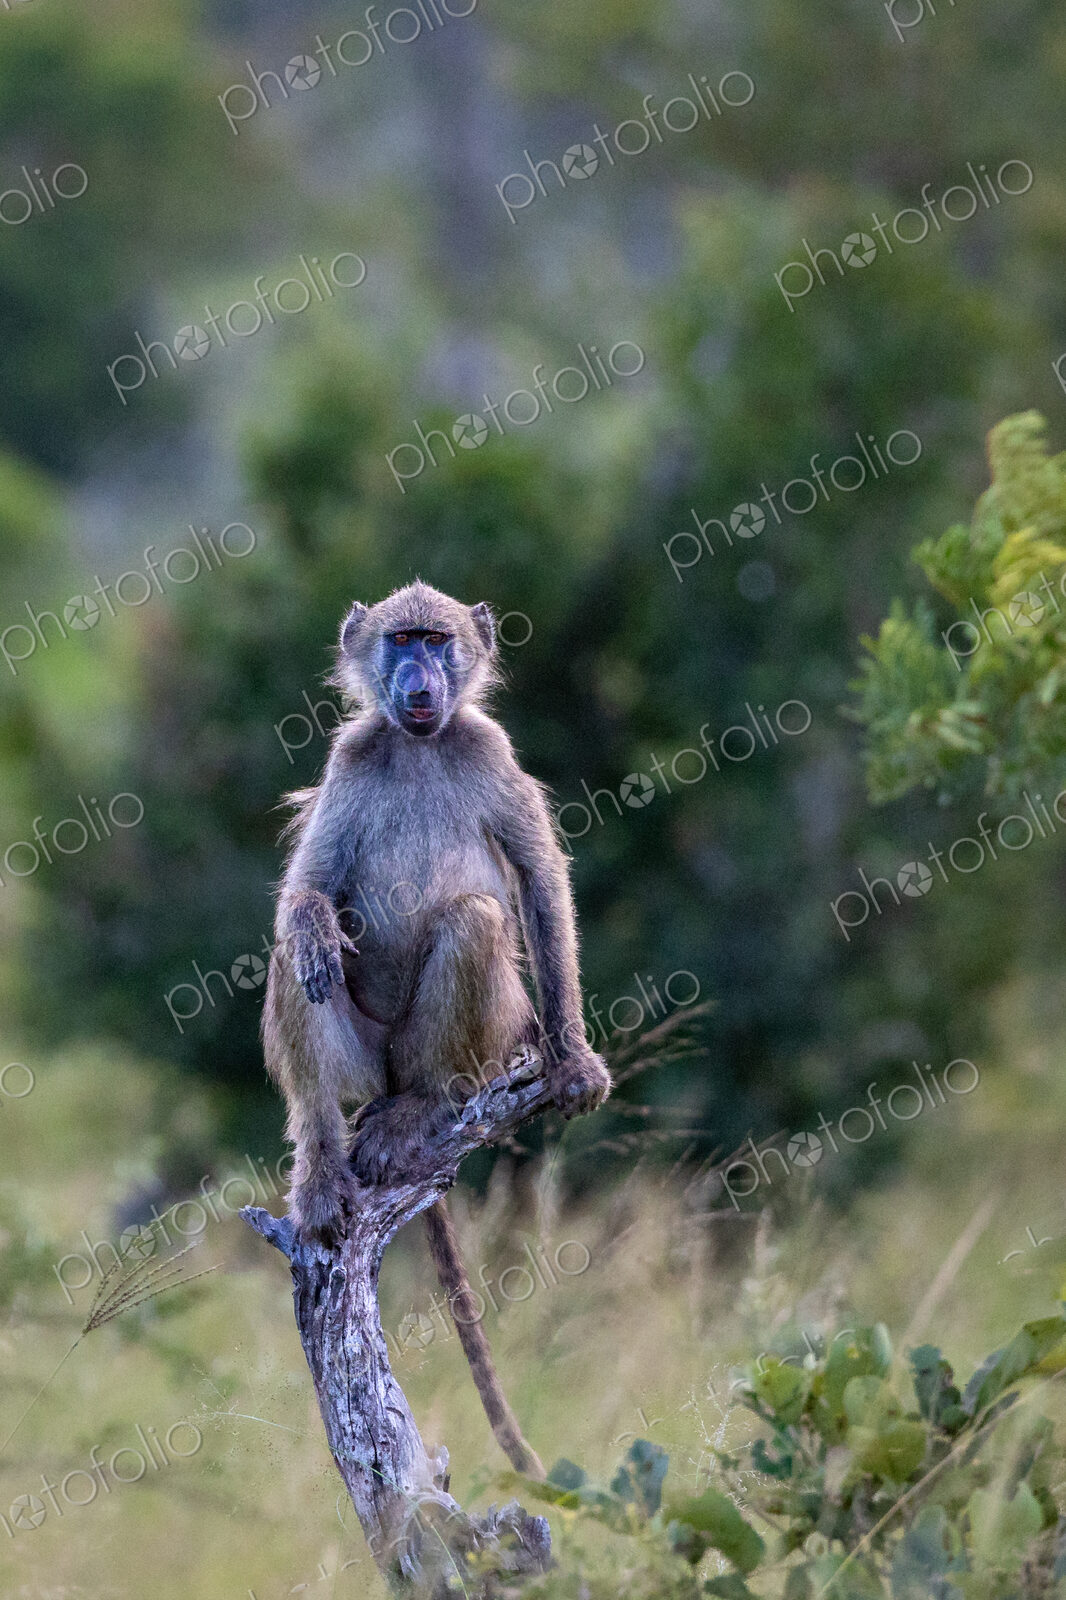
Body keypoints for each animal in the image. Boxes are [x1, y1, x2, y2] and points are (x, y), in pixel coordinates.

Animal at [261, 580, 611, 1476]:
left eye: (437, 639)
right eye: (400, 640)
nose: (418, 681)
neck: (420, 746)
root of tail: (386, 1076)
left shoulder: (491, 749)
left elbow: (539, 884)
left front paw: (575, 1061)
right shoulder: (350, 755)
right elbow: (305, 895)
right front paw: (314, 925)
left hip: (480, 1039)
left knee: (474, 919)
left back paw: (418, 1108)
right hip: (361, 1057)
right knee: (295, 964)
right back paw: (323, 1171)